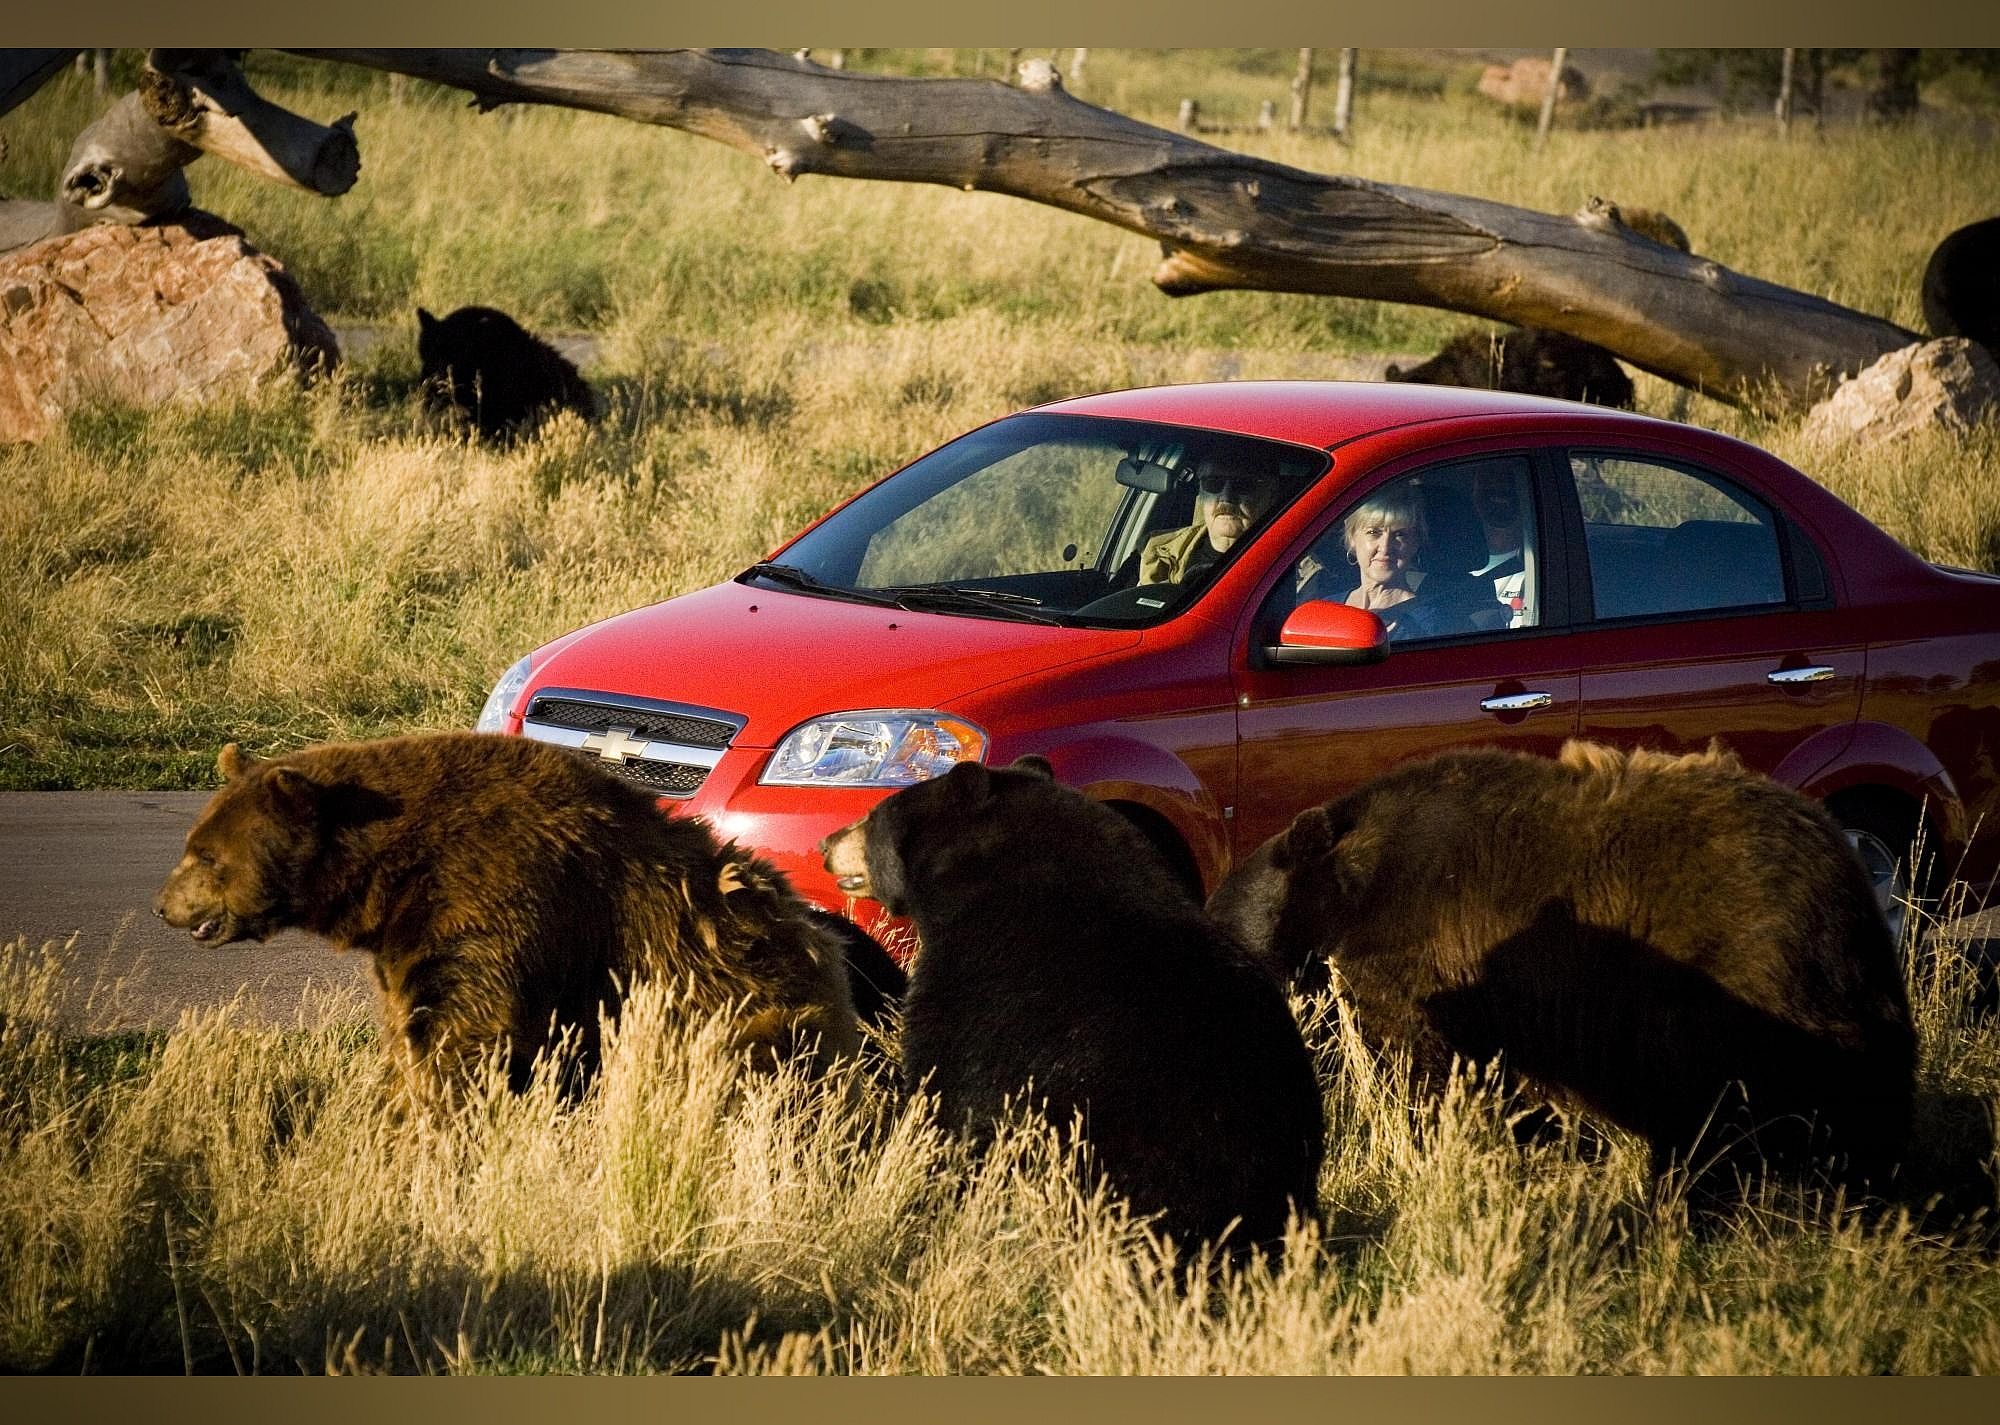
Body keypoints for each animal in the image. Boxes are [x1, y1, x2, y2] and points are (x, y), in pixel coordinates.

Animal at [154, 732, 861, 1099]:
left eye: (207, 856)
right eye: (193, 842)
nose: (164, 906)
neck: (391, 872)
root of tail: (826, 954)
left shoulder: (493, 896)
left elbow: (465, 1029)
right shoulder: (409, 936)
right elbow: (411, 1019)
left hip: (746, 1011)